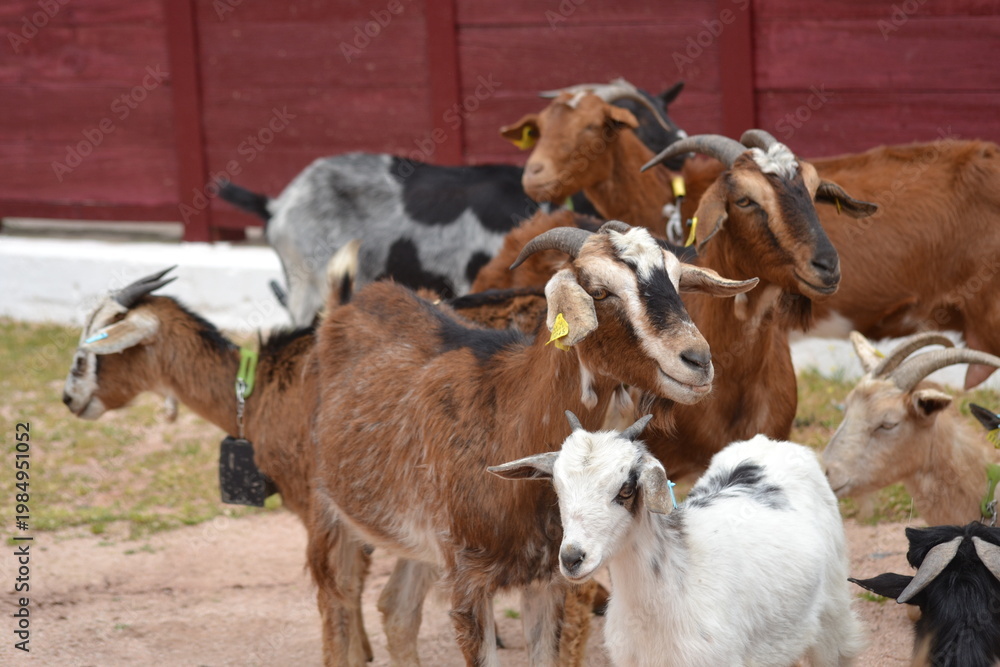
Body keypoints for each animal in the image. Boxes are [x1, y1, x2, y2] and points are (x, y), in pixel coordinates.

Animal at [60, 267, 375, 664]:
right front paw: (365, 650)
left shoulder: (314, 504)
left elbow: (337, 592)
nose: (68, 398)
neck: (260, 389)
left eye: (91, 349)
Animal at [307, 222, 757, 666]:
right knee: (337, 602)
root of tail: (344, 308)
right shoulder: (469, 580)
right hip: (329, 513)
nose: (698, 360)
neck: (507, 417)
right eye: (599, 291)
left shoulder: (549, 576)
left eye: (677, 283)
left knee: (397, 610)